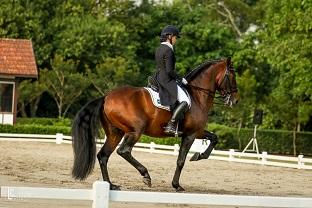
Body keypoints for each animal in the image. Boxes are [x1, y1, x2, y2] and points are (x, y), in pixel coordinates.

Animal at [72, 57, 239, 192]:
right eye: (232, 75)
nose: (235, 100)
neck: (197, 95)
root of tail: (106, 97)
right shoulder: (190, 134)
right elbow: (181, 160)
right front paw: (177, 185)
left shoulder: (196, 132)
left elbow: (214, 138)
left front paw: (199, 155)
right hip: (135, 131)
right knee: (123, 151)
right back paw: (145, 175)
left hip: (115, 133)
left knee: (103, 156)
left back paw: (111, 185)